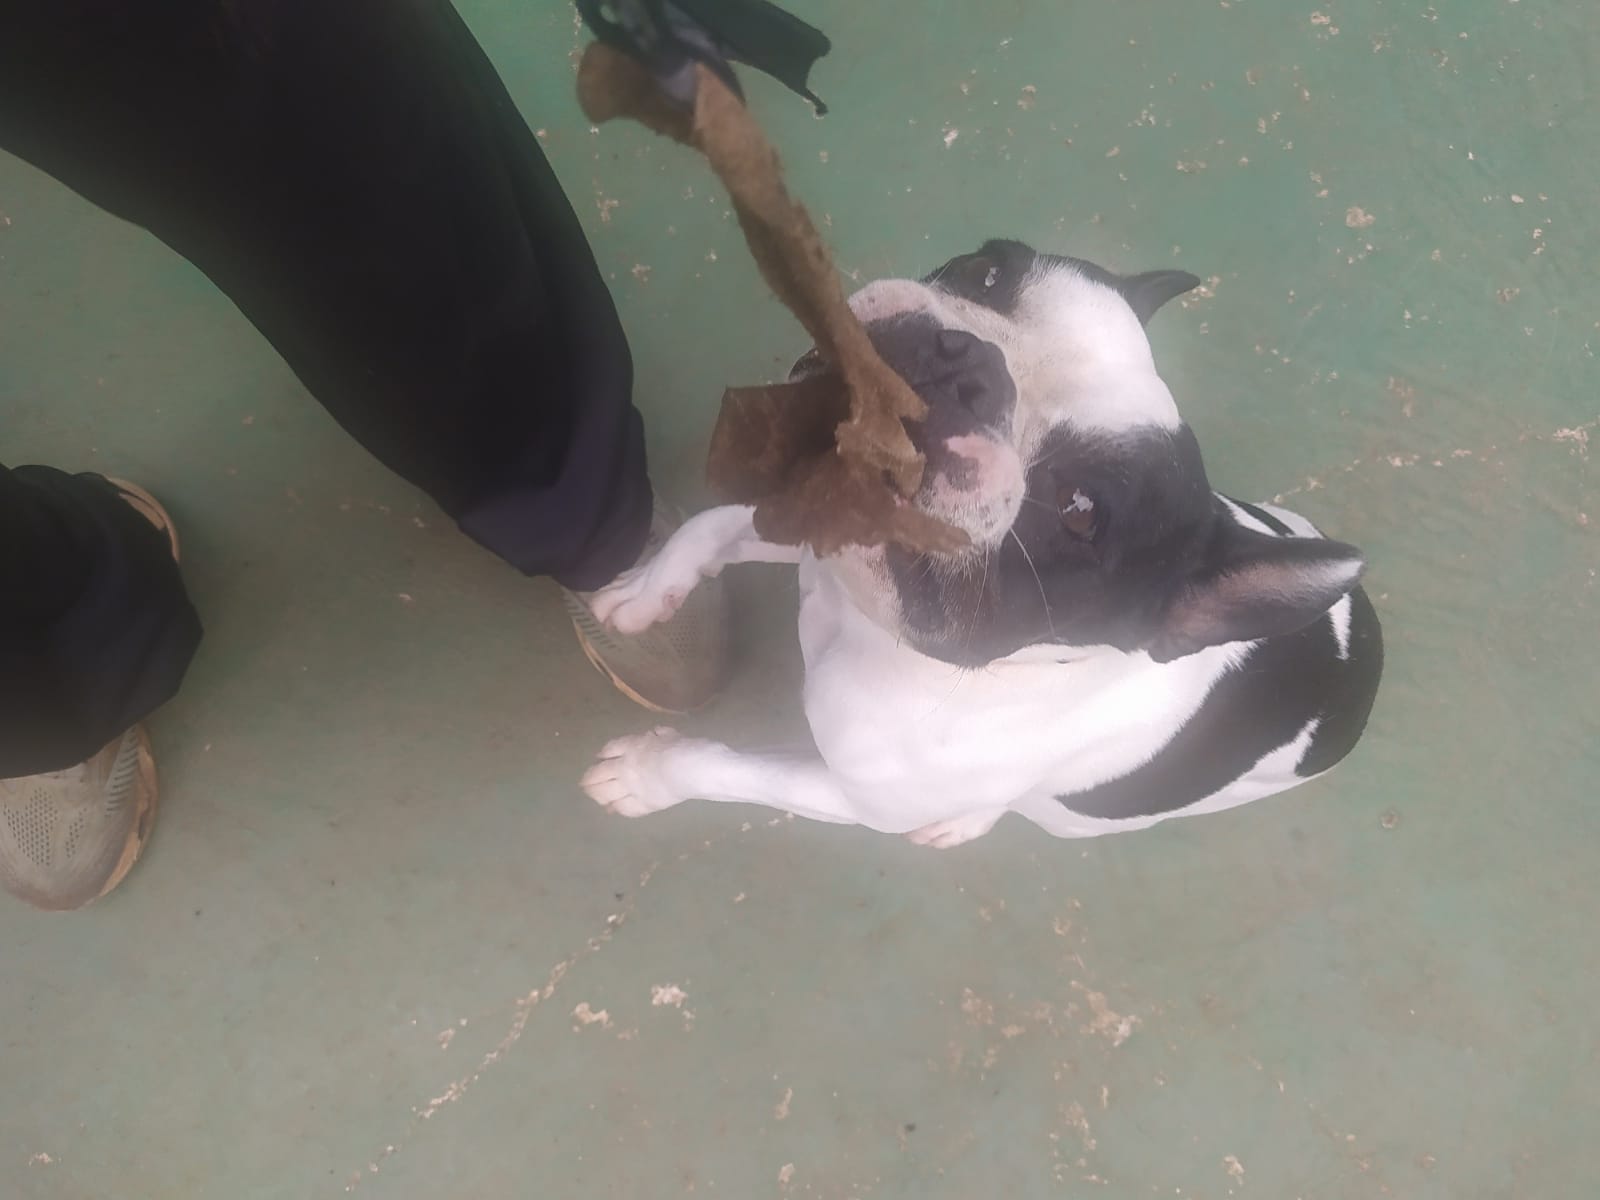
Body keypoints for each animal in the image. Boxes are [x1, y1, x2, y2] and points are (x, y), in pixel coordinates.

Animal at [580, 239, 1383, 847]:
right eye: (988, 271)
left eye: (1080, 510)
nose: (967, 362)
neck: (879, 633)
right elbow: (714, 527)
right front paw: (640, 592)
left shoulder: (857, 795)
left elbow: (727, 770)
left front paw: (647, 776)